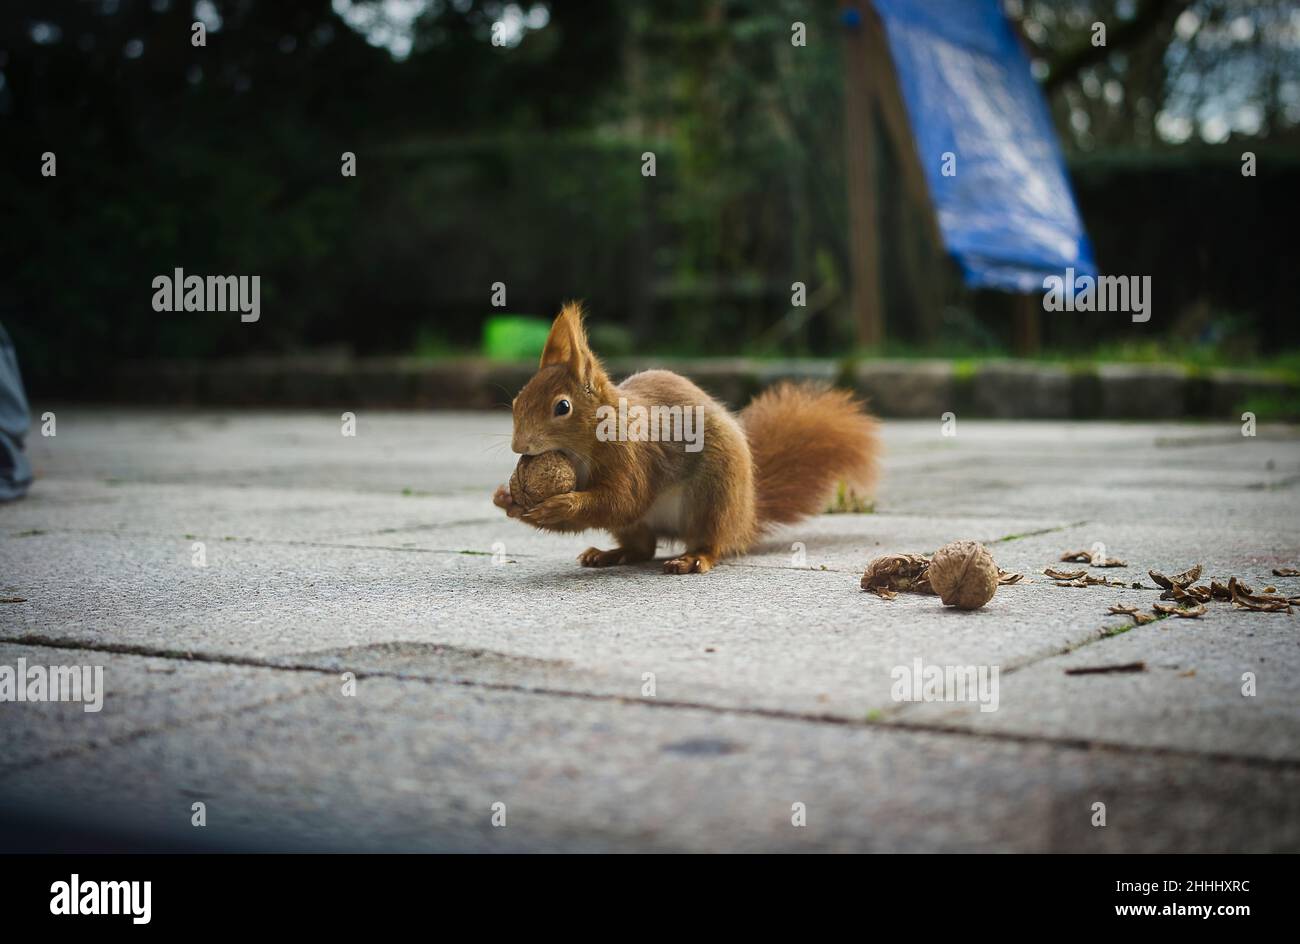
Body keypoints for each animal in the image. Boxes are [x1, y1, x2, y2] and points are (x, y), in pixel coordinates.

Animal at [493, 303, 880, 574]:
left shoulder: (635, 457)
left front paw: (561, 504)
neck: (585, 448)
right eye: (517, 401)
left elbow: (623, 499)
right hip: (643, 525)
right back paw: (611, 554)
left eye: (562, 407)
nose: (518, 447)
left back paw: (694, 558)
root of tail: (745, 516)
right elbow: (617, 508)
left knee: (710, 542)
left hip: (712, 495)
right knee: (643, 547)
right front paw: (507, 499)